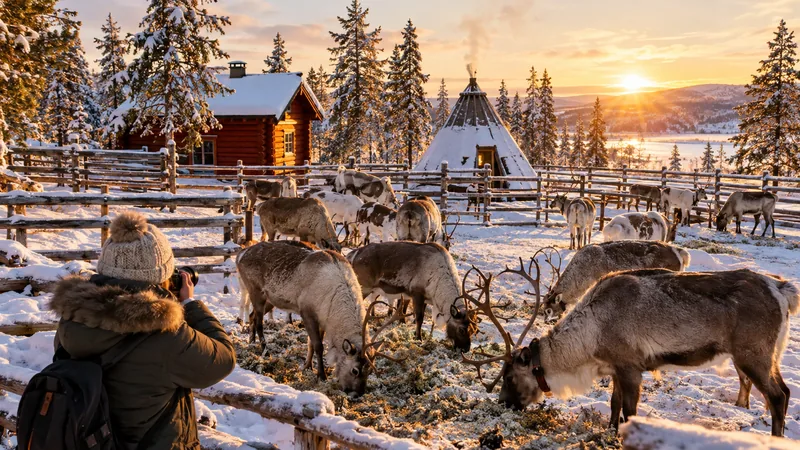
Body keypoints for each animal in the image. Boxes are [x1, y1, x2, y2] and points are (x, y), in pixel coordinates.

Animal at [236, 241, 403, 395]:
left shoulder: (322, 318)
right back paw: (265, 350)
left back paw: (251, 341)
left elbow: (311, 344)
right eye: (355, 370)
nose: (357, 394)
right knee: (259, 322)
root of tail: (240, 255)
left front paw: (307, 365)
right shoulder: (307, 311)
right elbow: (318, 345)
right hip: (255, 290)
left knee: (252, 316)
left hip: (270, 300)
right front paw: (321, 375)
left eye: (370, 370)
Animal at [347, 241, 479, 352]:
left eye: (474, 330)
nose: (465, 349)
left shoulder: (423, 297)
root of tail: (353, 254)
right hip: (364, 286)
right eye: (462, 330)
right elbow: (419, 318)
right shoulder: (417, 293)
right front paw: (418, 338)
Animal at [460, 264, 798, 437]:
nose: (502, 404)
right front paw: (609, 433)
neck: (590, 339)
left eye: (510, 376)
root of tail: (782, 289)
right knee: (785, 390)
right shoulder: (615, 369)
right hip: (770, 355)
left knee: (777, 396)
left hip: (752, 354)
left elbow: (629, 411)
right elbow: (613, 406)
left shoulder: (631, 367)